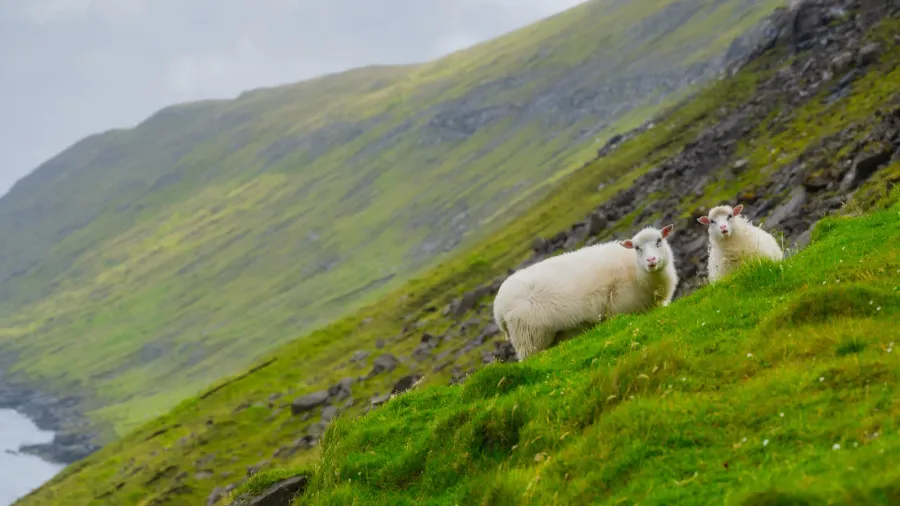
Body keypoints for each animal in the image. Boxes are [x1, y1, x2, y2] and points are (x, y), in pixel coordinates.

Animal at [493, 224, 679, 361]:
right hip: (529, 339)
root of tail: (498, 308)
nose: (651, 260)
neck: (636, 271)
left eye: (659, 241)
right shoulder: (622, 310)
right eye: (637, 248)